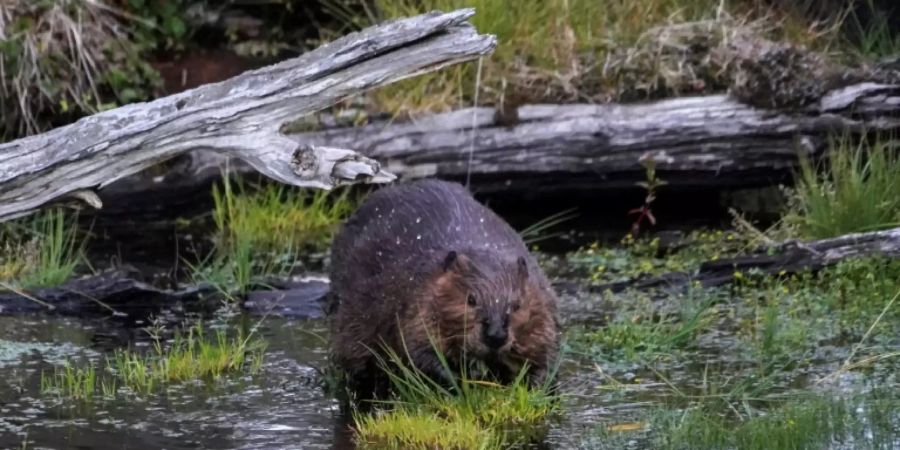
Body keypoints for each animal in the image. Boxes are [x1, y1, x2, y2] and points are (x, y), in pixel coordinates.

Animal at [326, 178, 560, 400]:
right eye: (471, 299)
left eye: (517, 305)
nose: (495, 335)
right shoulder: (417, 300)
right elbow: (417, 350)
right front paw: (460, 382)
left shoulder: (541, 303)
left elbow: (545, 355)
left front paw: (534, 384)